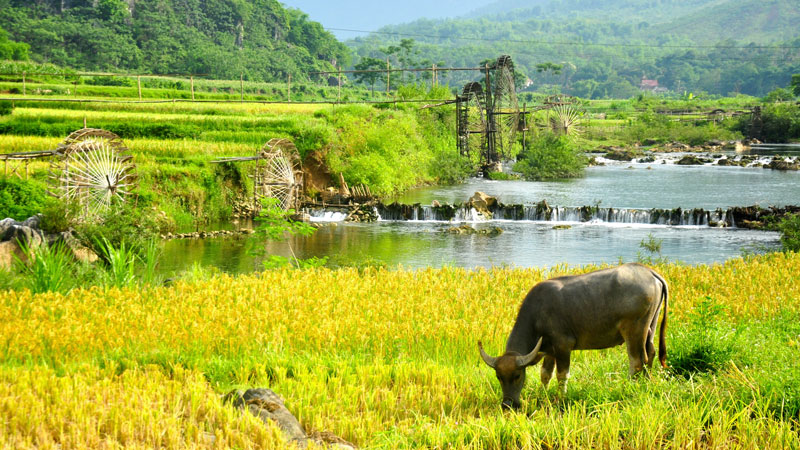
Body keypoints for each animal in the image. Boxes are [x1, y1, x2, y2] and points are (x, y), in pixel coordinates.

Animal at [478, 262, 664, 410]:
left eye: (517, 376)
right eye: (498, 377)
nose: (507, 404)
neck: (537, 314)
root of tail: (649, 272)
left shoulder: (563, 346)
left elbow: (562, 375)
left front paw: (561, 398)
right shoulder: (549, 350)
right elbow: (545, 374)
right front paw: (543, 394)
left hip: (634, 331)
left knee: (636, 361)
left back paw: (628, 387)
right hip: (650, 327)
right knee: (650, 354)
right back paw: (647, 382)